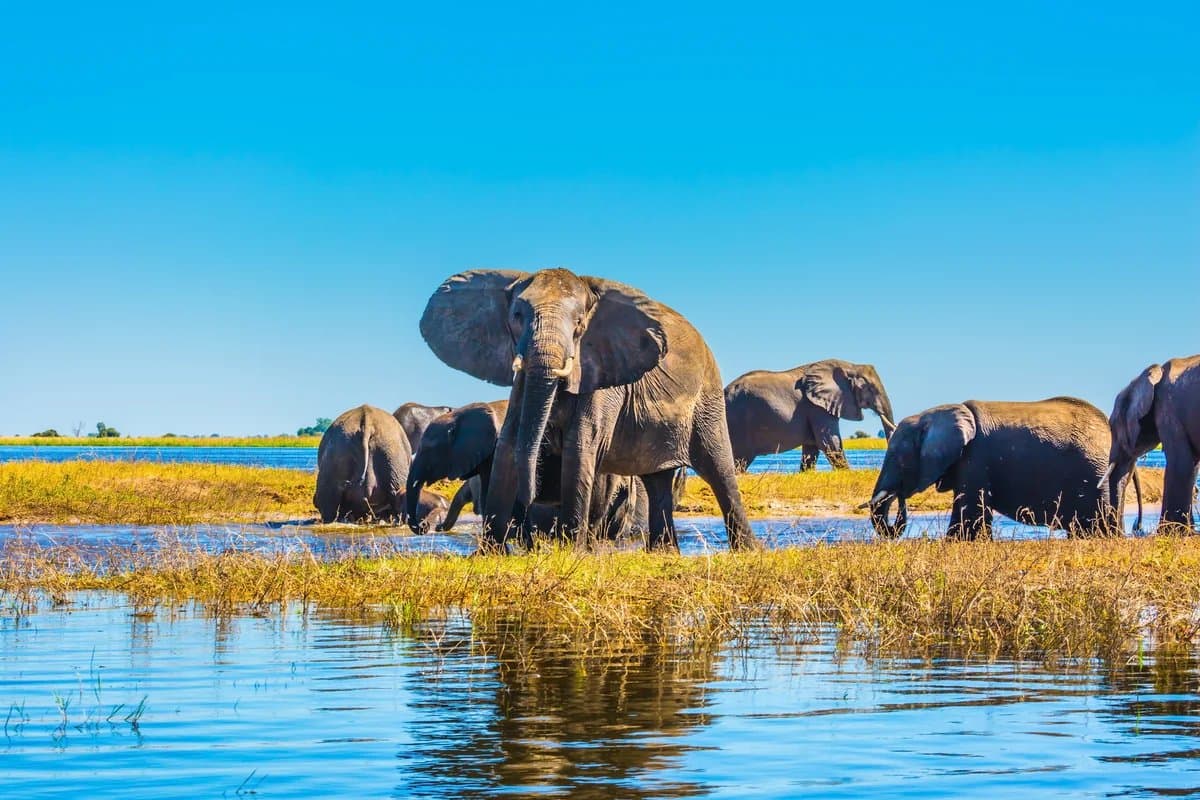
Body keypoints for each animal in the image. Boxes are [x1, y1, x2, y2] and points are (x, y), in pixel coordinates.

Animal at [724, 359, 896, 471]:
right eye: (870, 389)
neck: (850, 366)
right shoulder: (817, 407)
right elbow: (829, 442)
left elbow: (812, 447)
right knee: (740, 460)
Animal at [1103, 355, 1200, 534]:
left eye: (1112, 426)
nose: (1136, 527)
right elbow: (1191, 465)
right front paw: (1187, 532)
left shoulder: (1168, 411)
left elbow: (1180, 464)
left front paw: (1169, 532)